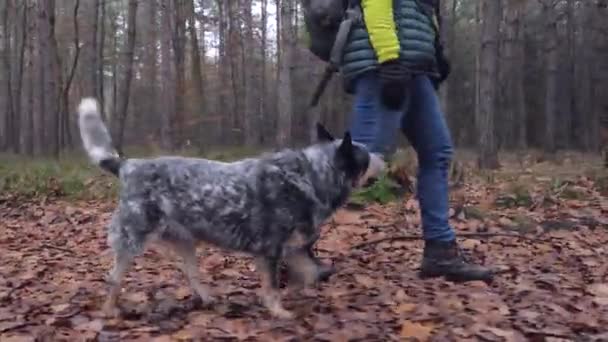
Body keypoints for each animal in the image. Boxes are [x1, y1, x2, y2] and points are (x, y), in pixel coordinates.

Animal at [73, 97, 382, 320]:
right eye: (366, 156)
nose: (383, 157)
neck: (311, 176)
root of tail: (127, 165)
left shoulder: (294, 247)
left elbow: (311, 273)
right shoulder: (271, 250)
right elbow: (273, 287)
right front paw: (279, 311)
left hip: (185, 241)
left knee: (192, 275)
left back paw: (209, 299)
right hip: (133, 239)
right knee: (113, 279)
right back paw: (109, 310)